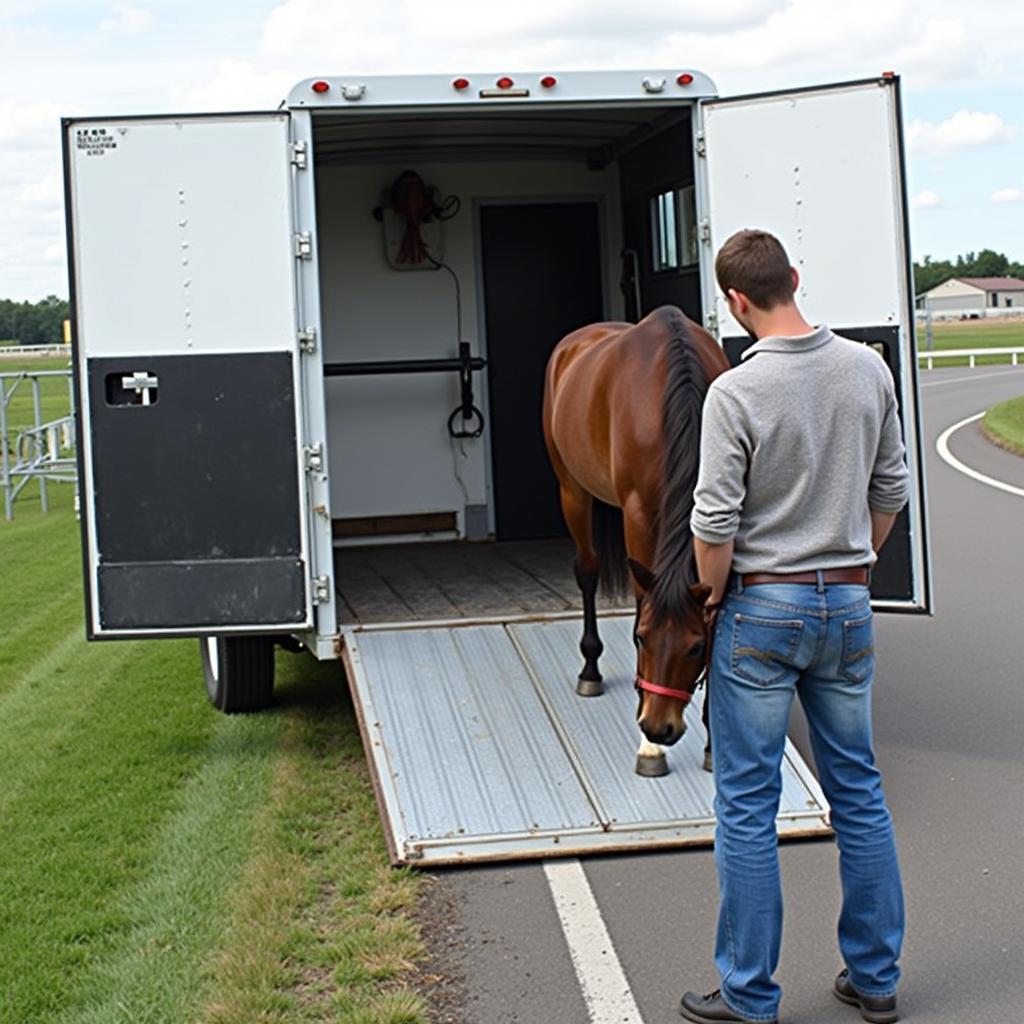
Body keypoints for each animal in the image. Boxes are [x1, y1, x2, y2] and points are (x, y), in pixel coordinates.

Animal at [544, 303, 729, 774]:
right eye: (642, 638)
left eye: (696, 647)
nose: (660, 728)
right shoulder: (638, 514)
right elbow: (641, 597)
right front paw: (649, 749)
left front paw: (713, 739)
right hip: (572, 491)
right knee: (587, 570)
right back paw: (590, 670)